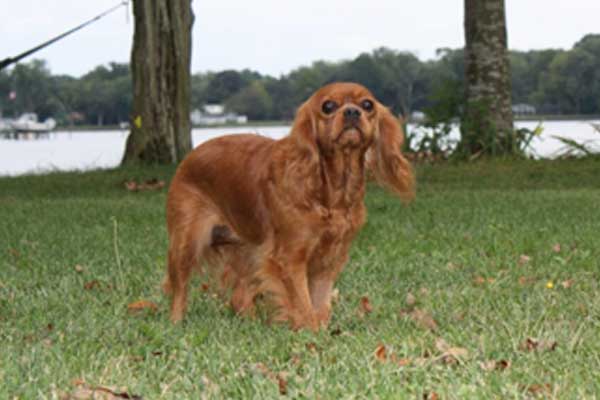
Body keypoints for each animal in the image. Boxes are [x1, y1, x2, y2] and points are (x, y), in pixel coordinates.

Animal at [163, 82, 414, 330]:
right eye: (328, 106)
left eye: (367, 104)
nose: (352, 111)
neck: (332, 190)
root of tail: (189, 157)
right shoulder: (289, 259)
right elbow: (303, 304)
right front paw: (310, 332)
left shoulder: (329, 259)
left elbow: (320, 304)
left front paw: (323, 331)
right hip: (187, 242)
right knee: (179, 288)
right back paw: (176, 323)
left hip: (247, 250)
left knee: (239, 297)